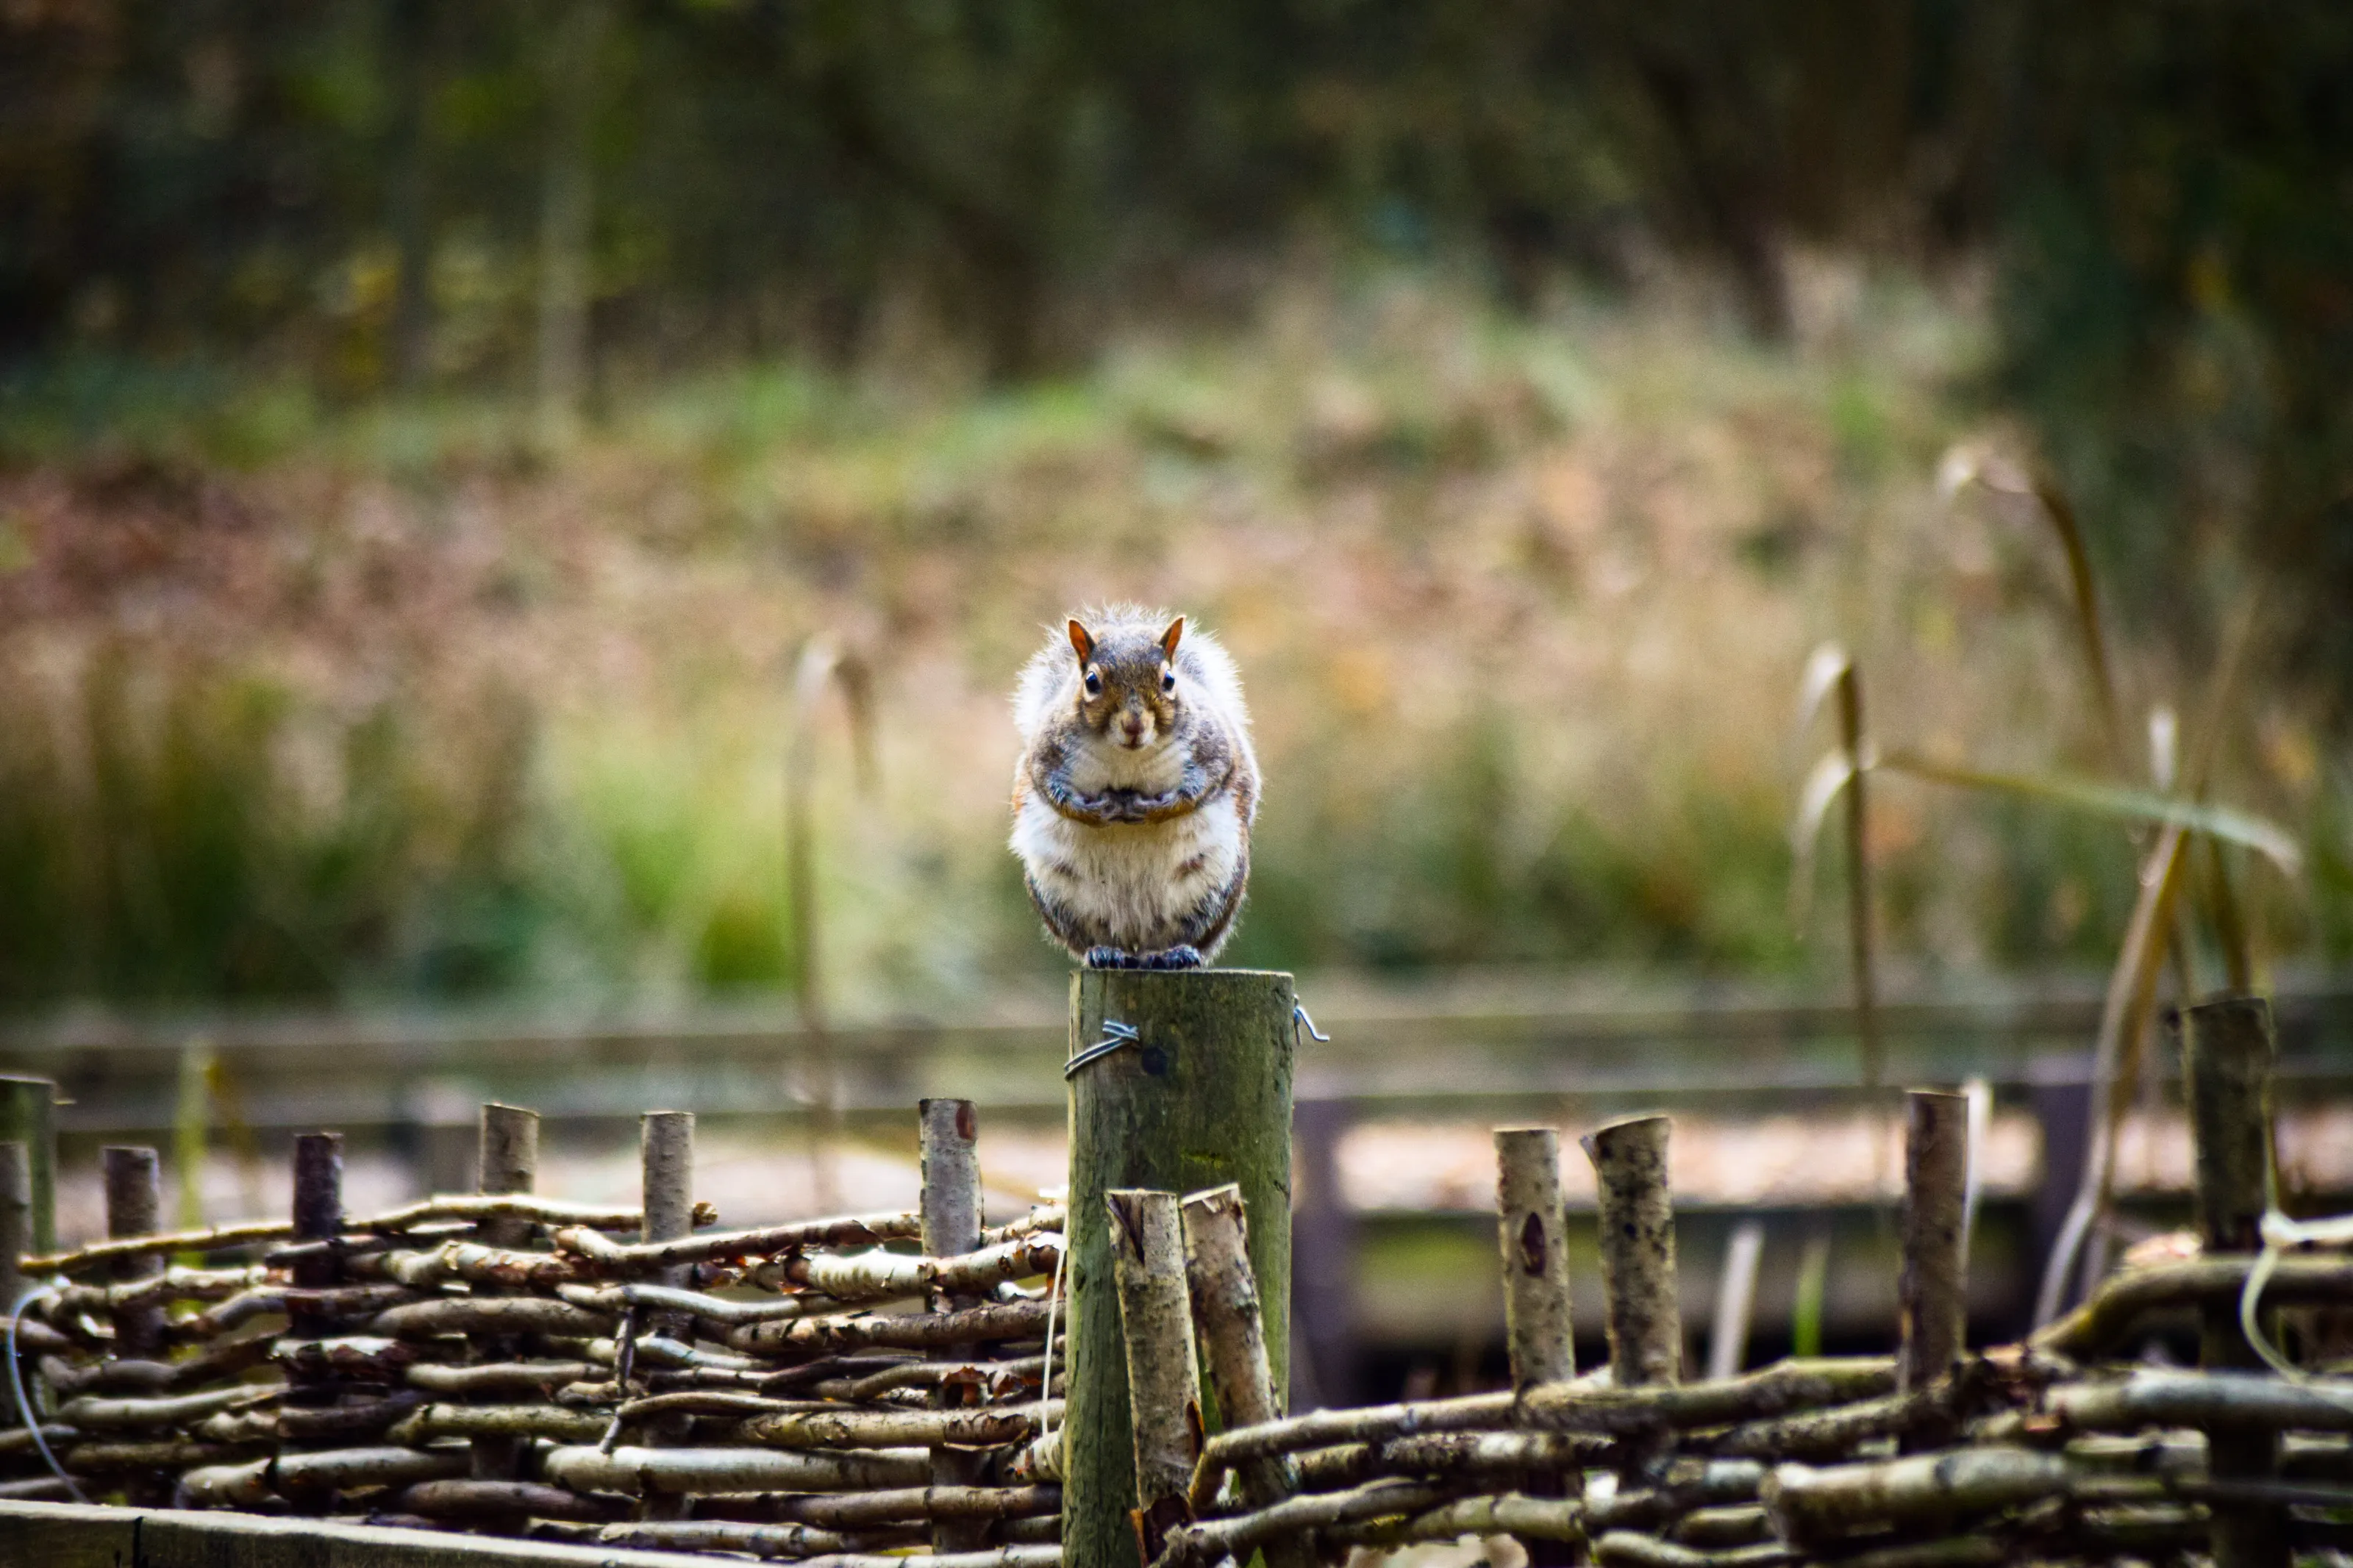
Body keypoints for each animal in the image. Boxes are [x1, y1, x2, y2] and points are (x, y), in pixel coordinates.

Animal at [1009, 606, 1259, 969]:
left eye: (1169, 680)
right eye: (1092, 682)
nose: (1134, 725)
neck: (1127, 756)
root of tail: (1136, 944)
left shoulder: (1212, 747)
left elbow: (1204, 784)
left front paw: (1155, 809)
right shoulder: (1046, 754)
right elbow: (1051, 791)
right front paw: (1095, 813)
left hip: (1214, 885)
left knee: (1184, 932)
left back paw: (1175, 952)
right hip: (1059, 894)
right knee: (1091, 938)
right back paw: (1104, 952)